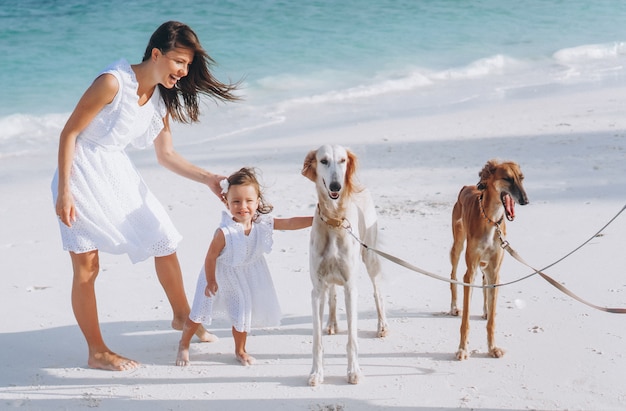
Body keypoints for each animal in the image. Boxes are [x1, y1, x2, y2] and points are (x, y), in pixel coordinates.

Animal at [302, 145, 388, 386]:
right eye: (323, 160)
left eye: (342, 160)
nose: (336, 186)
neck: (334, 221)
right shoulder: (316, 289)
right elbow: (317, 341)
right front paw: (316, 372)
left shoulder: (351, 287)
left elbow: (352, 339)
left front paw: (354, 371)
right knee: (332, 293)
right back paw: (331, 322)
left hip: (370, 257)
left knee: (378, 291)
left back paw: (382, 325)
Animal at [448, 159, 528, 358]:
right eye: (507, 178)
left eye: (521, 178)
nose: (525, 200)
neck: (491, 221)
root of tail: (467, 187)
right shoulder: (469, 273)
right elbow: (465, 320)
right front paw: (462, 349)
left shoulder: (495, 272)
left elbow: (491, 320)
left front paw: (493, 348)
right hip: (457, 246)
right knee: (453, 276)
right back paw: (454, 307)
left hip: (485, 265)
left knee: (484, 284)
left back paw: (485, 310)